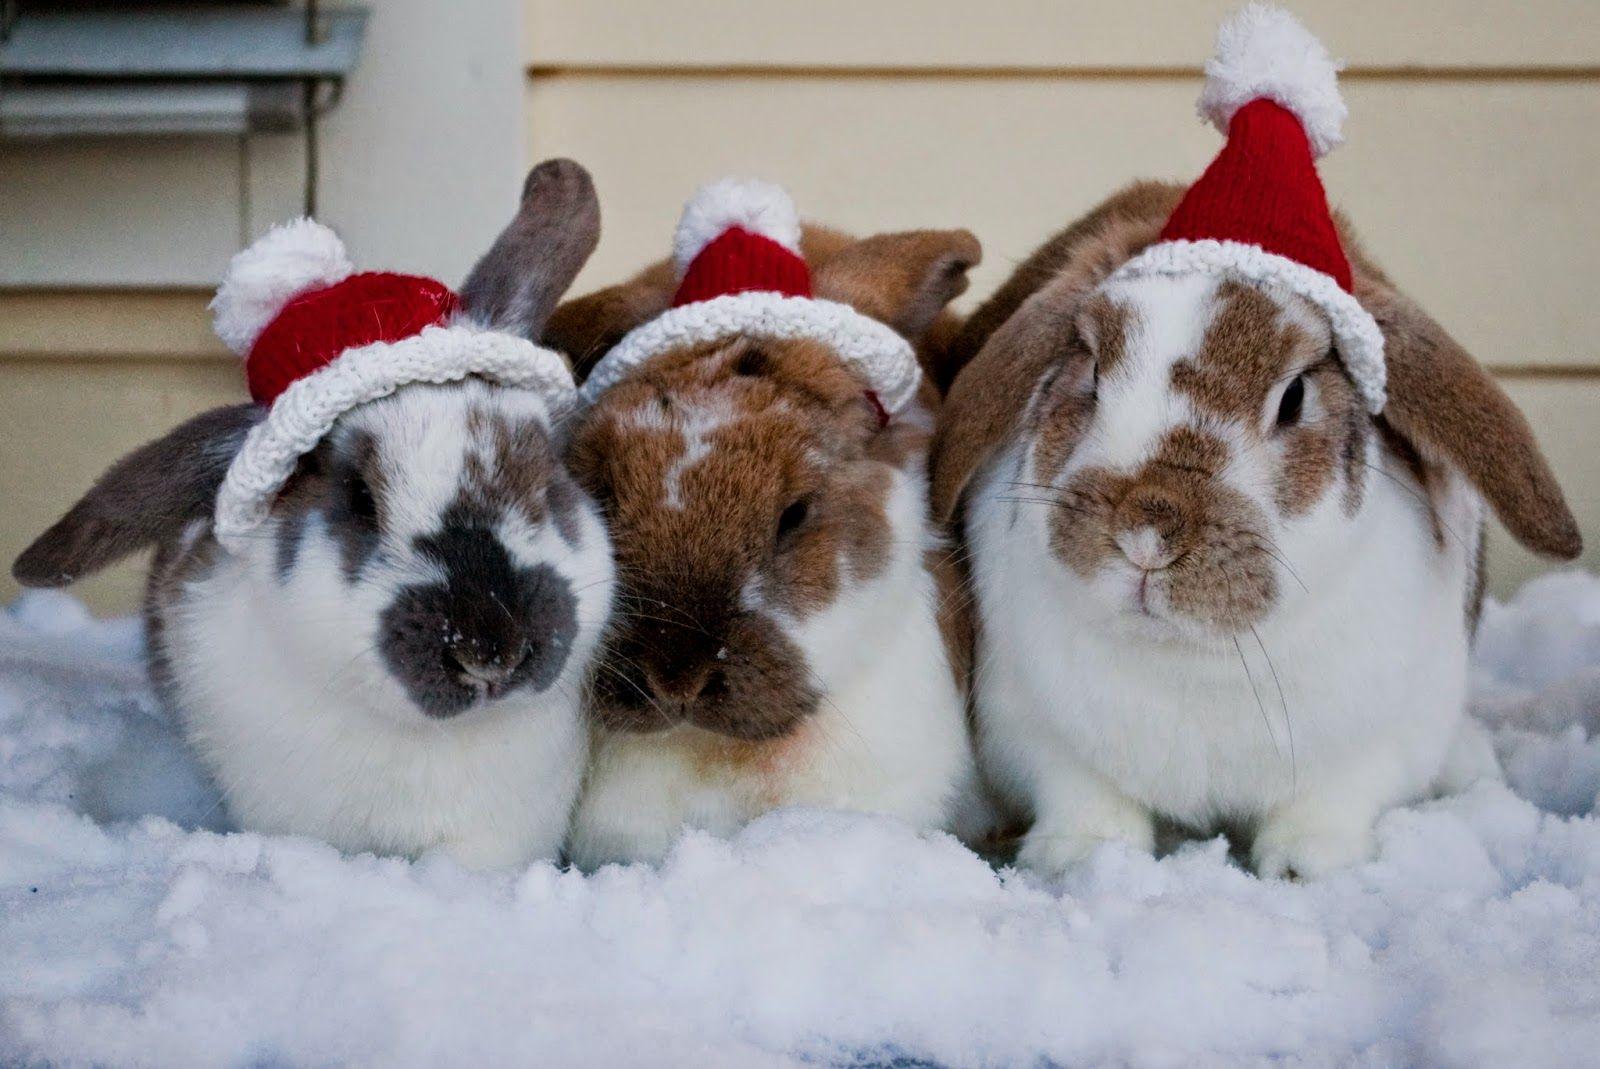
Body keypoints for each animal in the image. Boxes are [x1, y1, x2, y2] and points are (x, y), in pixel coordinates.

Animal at [928, 9, 1582, 880]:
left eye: (1295, 395)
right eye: (1091, 371)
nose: (1147, 529)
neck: (1199, 660)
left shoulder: (1375, 746)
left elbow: (1331, 803)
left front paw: (1306, 866)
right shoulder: (1035, 735)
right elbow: (1087, 798)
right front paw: (1081, 858)